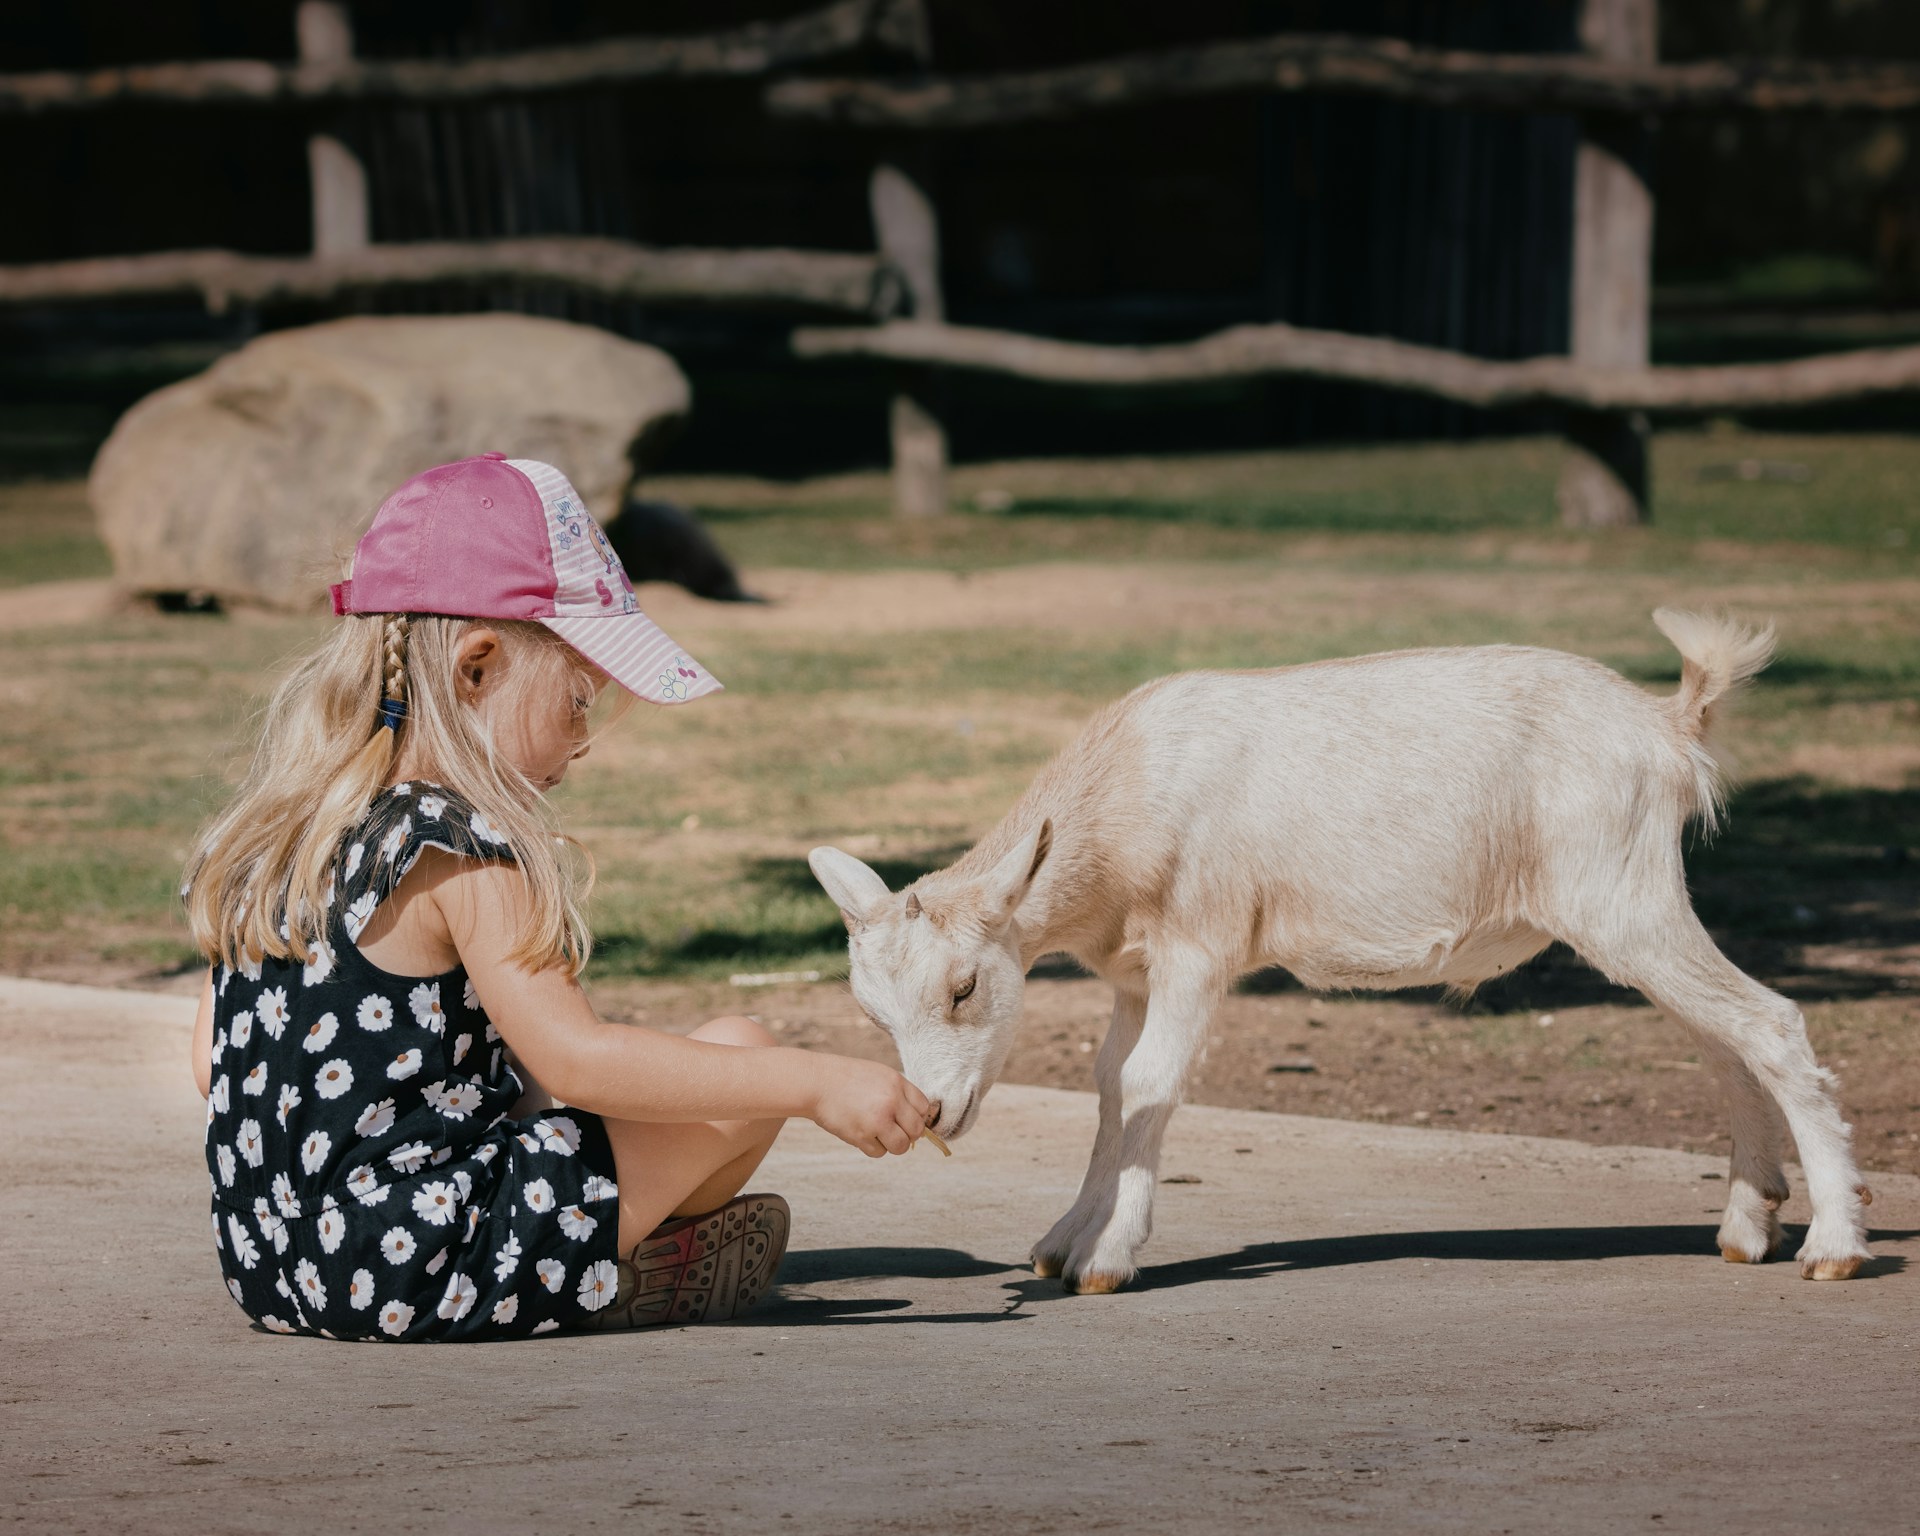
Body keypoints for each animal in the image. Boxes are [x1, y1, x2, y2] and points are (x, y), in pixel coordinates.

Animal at [809, 611, 1874, 1293]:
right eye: (872, 1012)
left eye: (963, 986)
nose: (933, 1113)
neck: (1130, 793)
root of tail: (1669, 725)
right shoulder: (1134, 972)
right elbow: (1112, 1084)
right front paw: (1062, 1243)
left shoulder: (1200, 946)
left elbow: (1152, 1082)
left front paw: (1108, 1258)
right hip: (1631, 909)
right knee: (1724, 1041)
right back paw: (1748, 1226)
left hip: (1623, 897)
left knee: (1768, 1022)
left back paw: (1833, 1244)